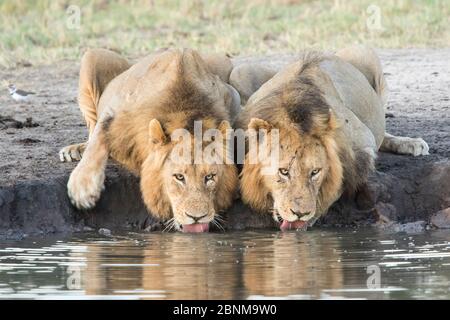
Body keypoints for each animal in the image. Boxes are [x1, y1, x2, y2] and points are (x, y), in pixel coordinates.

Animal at [62, 47, 243, 232]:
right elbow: (98, 139)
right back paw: (76, 150)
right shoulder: (114, 109)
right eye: (179, 177)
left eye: (210, 177)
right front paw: (82, 186)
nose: (197, 217)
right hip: (93, 57)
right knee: (92, 129)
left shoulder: (231, 96)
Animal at [232, 45, 428, 230]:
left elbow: (340, 182)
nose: (300, 214)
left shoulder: (363, 145)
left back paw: (411, 143)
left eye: (315, 172)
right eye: (283, 171)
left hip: (365, 53)